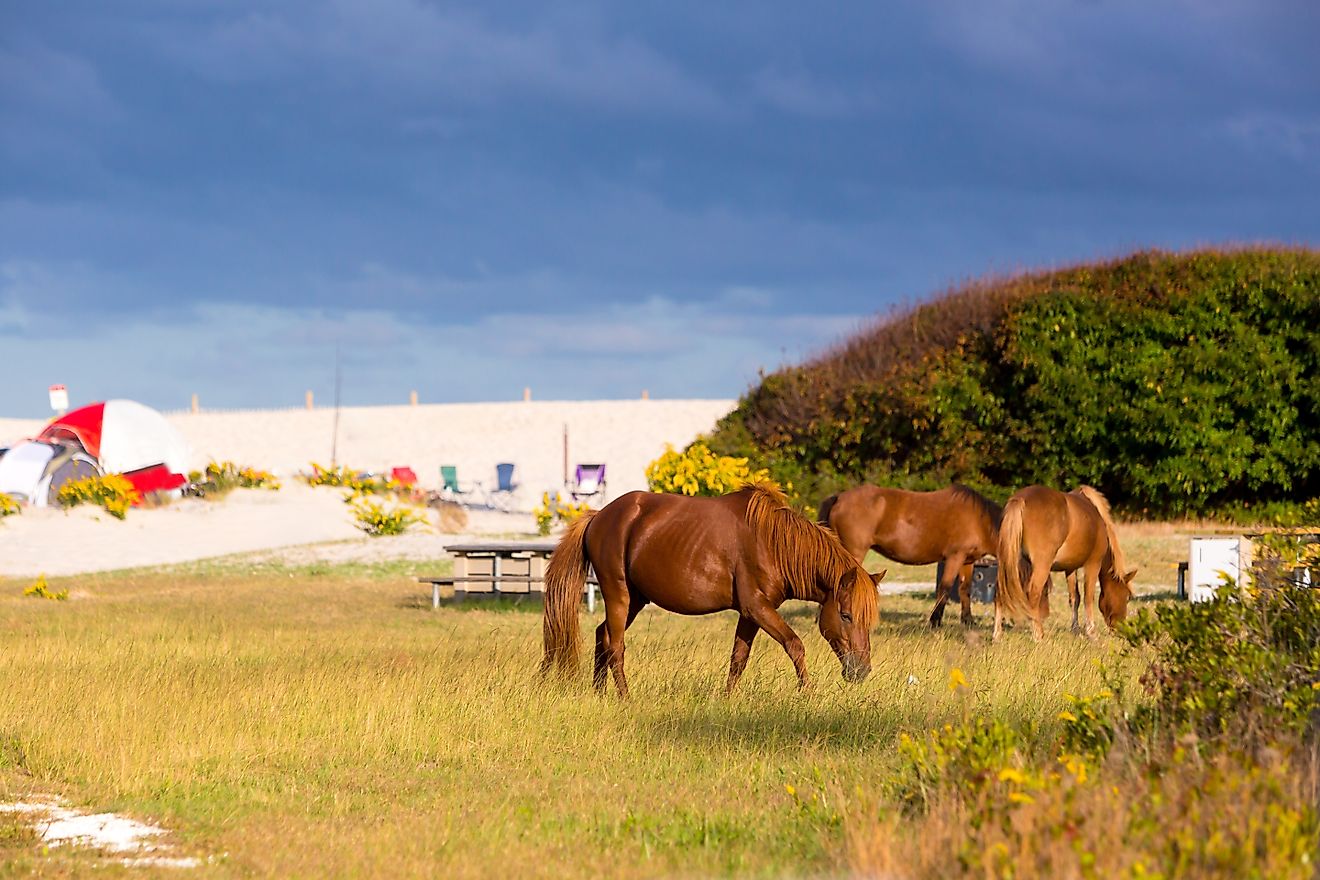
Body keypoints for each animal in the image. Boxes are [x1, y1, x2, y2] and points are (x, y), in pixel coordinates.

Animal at [541, 484, 884, 696]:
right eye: (846, 615)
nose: (861, 670)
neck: (773, 543)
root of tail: (598, 516)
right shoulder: (758, 608)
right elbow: (795, 645)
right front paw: (807, 694)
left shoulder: (751, 613)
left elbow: (739, 658)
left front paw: (728, 700)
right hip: (618, 595)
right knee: (615, 646)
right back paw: (625, 698)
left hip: (635, 600)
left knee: (603, 635)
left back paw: (600, 693)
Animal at [818, 484, 1001, 627]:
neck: (978, 519)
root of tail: (839, 498)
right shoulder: (954, 557)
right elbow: (945, 588)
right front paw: (935, 621)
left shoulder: (967, 561)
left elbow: (965, 589)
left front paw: (968, 620)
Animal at [993, 485, 1136, 641]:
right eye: (1127, 597)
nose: (1120, 629)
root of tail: (1020, 500)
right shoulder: (1093, 564)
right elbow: (1088, 597)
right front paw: (1091, 633)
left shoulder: (1070, 568)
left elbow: (1074, 598)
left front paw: (1075, 629)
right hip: (1041, 566)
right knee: (1033, 593)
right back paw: (1038, 635)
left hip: (1010, 562)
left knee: (1000, 592)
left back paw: (997, 635)